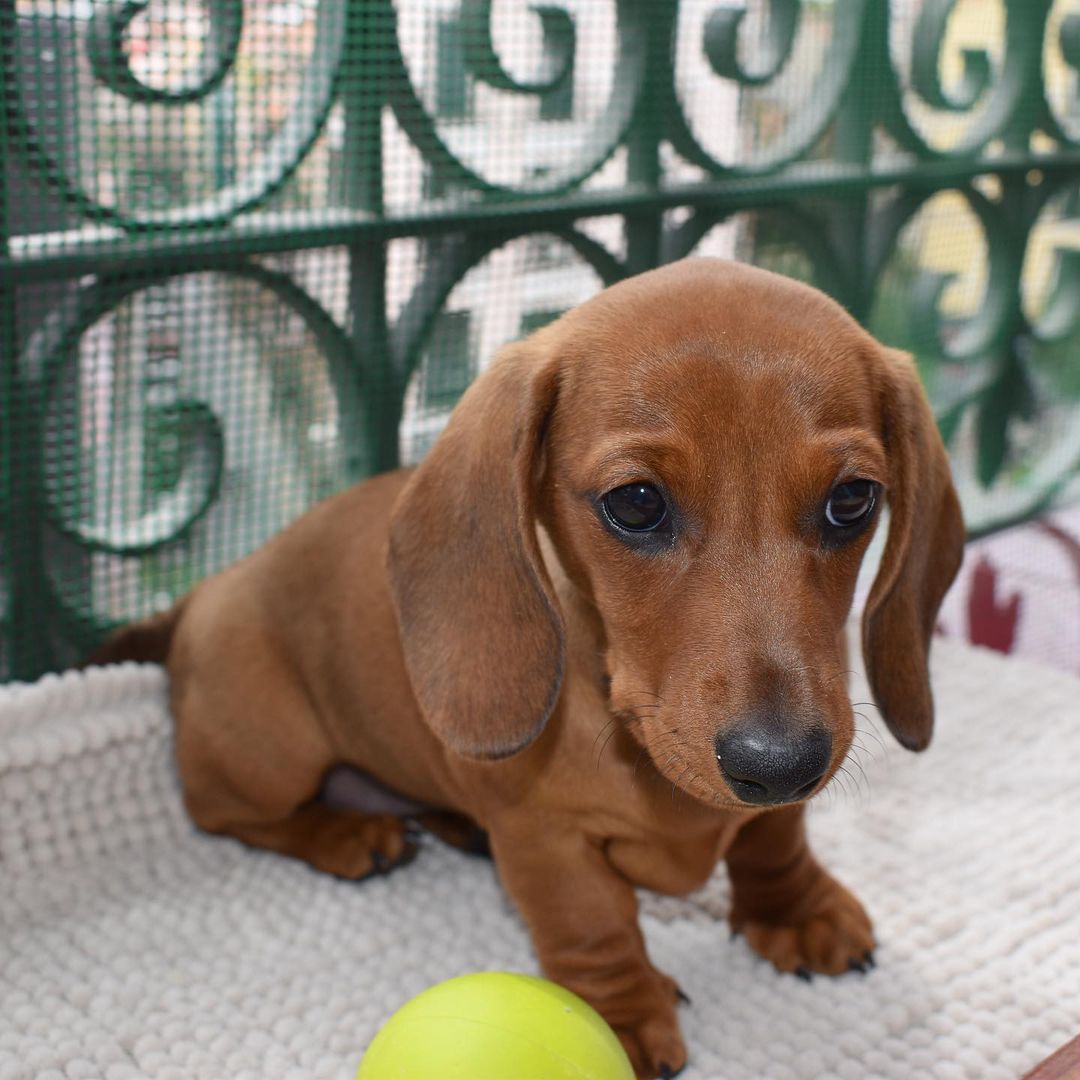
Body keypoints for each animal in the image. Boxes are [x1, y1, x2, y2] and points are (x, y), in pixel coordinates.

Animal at [92, 261, 967, 1080]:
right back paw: (347, 832)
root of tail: (203, 590)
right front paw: (620, 1017)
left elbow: (773, 838)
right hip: (270, 754)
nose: (780, 763)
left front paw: (793, 910)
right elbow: (590, 919)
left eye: (853, 500)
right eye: (636, 503)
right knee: (221, 810)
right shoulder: (547, 837)